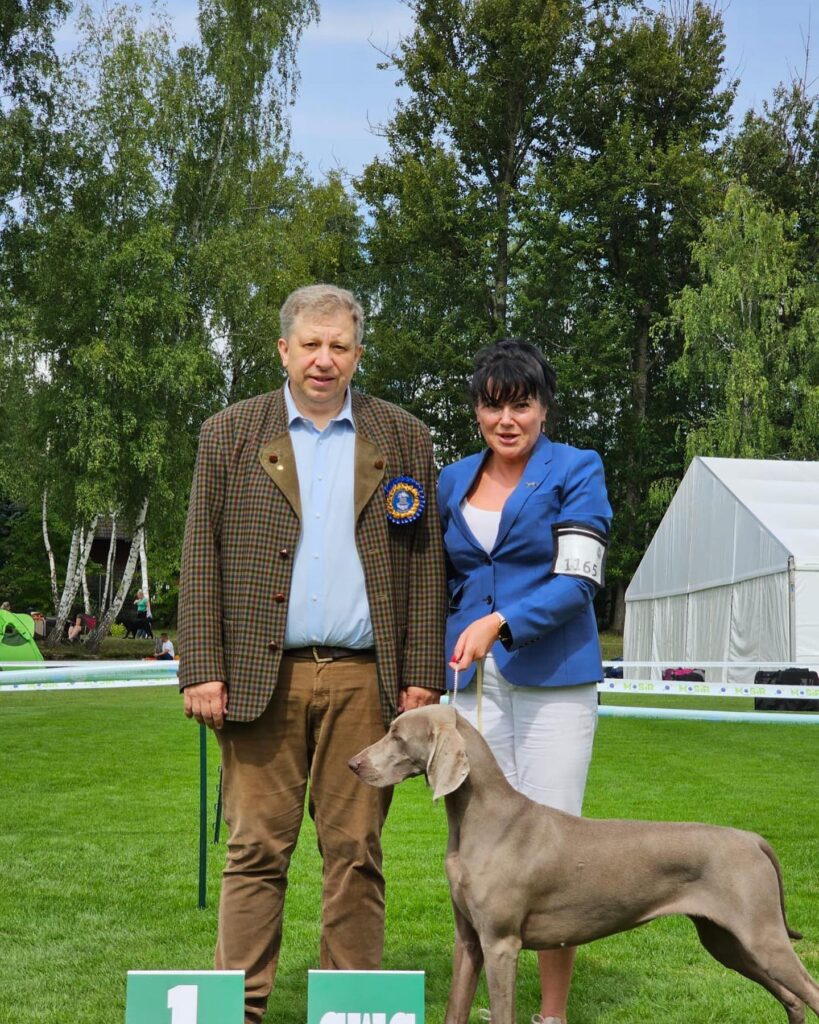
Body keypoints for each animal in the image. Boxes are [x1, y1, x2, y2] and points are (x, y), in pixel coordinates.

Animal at [348, 704, 818, 1024]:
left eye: (396, 735)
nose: (353, 763)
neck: (479, 819)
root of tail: (751, 838)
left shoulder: (501, 943)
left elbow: (501, 1011)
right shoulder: (468, 940)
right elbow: (455, 1008)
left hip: (762, 936)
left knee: (808, 990)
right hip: (726, 941)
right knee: (793, 998)